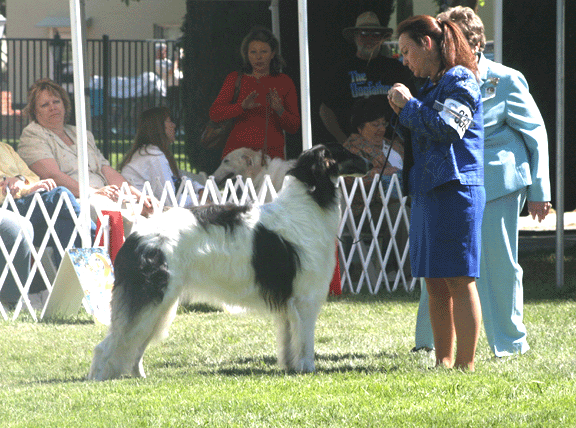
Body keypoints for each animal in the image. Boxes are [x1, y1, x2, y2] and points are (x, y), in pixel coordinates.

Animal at [88, 144, 371, 381]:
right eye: (345, 151)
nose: (370, 162)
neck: (307, 205)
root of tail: (137, 234)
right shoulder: (305, 300)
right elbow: (306, 345)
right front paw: (308, 370)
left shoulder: (289, 306)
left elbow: (289, 345)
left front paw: (292, 368)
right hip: (149, 300)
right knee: (105, 346)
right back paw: (98, 379)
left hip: (161, 305)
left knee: (134, 348)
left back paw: (138, 377)